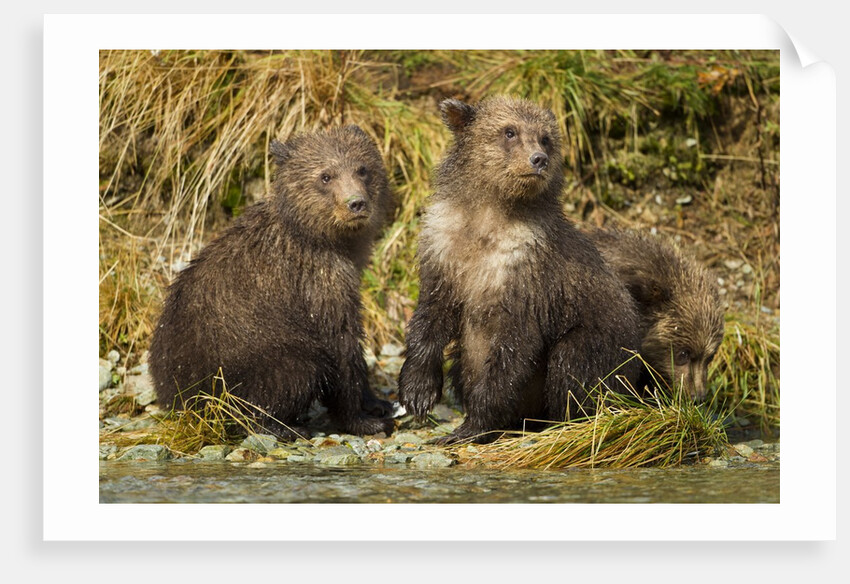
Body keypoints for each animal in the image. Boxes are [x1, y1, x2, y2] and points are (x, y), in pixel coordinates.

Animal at [149, 125, 396, 440]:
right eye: (326, 176)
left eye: (362, 169)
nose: (356, 203)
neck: (325, 239)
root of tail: (174, 399)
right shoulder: (316, 281)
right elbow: (341, 344)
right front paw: (363, 420)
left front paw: (378, 404)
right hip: (237, 363)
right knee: (296, 370)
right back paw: (283, 426)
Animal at [397, 96, 643, 444]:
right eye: (509, 131)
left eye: (545, 138)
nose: (538, 159)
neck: (488, 220)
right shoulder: (444, 251)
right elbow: (431, 316)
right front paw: (418, 393)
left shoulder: (526, 276)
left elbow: (512, 351)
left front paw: (471, 426)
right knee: (463, 362)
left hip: (603, 338)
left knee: (574, 364)